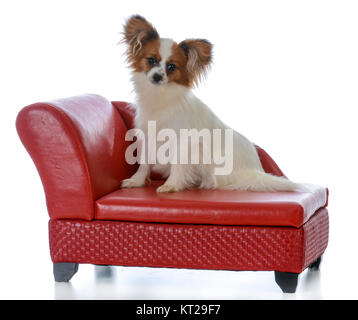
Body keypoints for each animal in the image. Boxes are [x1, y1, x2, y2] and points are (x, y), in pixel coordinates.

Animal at [119, 15, 302, 192]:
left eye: (171, 66)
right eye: (151, 60)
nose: (157, 77)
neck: (160, 95)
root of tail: (256, 171)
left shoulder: (184, 143)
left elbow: (178, 165)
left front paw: (172, 185)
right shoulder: (148, 136)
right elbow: (144, 164)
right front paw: (137, 181)